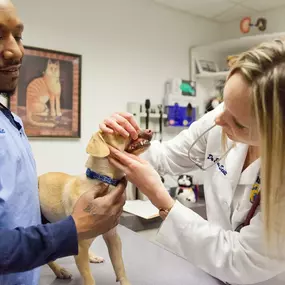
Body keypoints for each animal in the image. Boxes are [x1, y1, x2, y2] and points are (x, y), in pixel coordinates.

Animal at [39, 129, 153, 284]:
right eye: (121, 132)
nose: (150, 130)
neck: (104, 181)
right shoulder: (80, 248)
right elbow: (89, 279)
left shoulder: (113, 238)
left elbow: (120, 268)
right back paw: (60, 271)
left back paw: (91, 257)